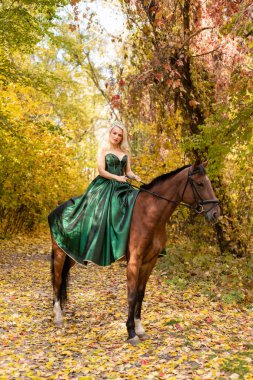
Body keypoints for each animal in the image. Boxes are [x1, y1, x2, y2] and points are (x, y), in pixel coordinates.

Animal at [51, 160, 219, 344]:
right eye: (200, 183)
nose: (215, 213)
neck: (149, 214)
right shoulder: (134, 262)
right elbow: (131, 295)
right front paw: (131, 332)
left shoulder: (150, 261)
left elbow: (140, 294)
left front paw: (139, 329)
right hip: (59, 254)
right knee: (57, 280)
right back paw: (58, 317)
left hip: (72, 256)